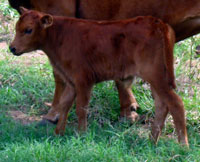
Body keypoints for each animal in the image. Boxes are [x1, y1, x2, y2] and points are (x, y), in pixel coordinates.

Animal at [9, 7, 188, 146]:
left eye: (28, 30)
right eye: (17, 28)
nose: (12, 48)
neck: (59, 37)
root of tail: (157, 22)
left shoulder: (83, 80)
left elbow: (81, 108)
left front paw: (81, 135)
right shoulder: (71, 81)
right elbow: (64, 104)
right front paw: (58, 133)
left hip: (156, 76)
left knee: (176, 103)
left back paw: (183, 146)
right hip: (157, 78)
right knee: (162, 105)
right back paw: (151, 141)